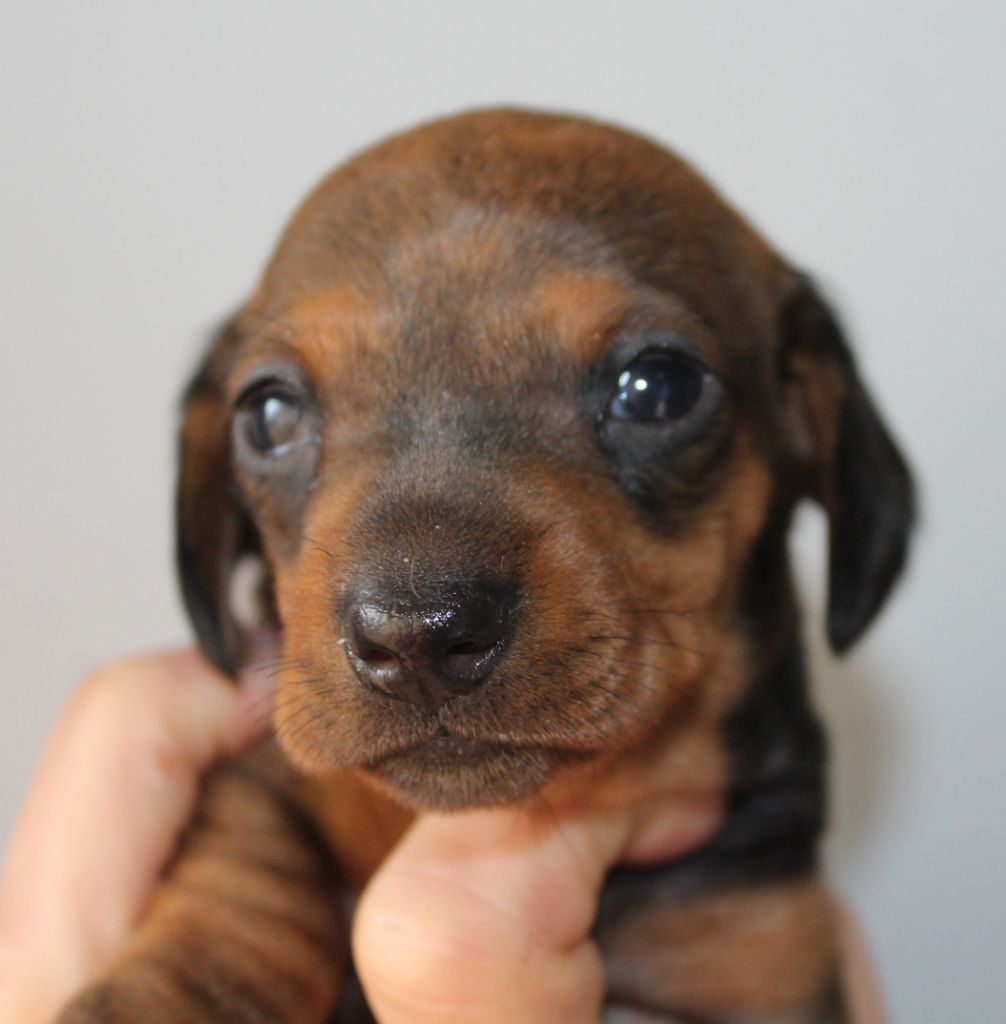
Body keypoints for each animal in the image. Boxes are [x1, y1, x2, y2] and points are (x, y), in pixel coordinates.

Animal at [58, 108, 913, 1023]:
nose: (418, 638)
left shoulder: (757, 944)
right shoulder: (264, 781)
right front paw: (173, 989)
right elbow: (248, 862)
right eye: (270, 413)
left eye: (659, 386)